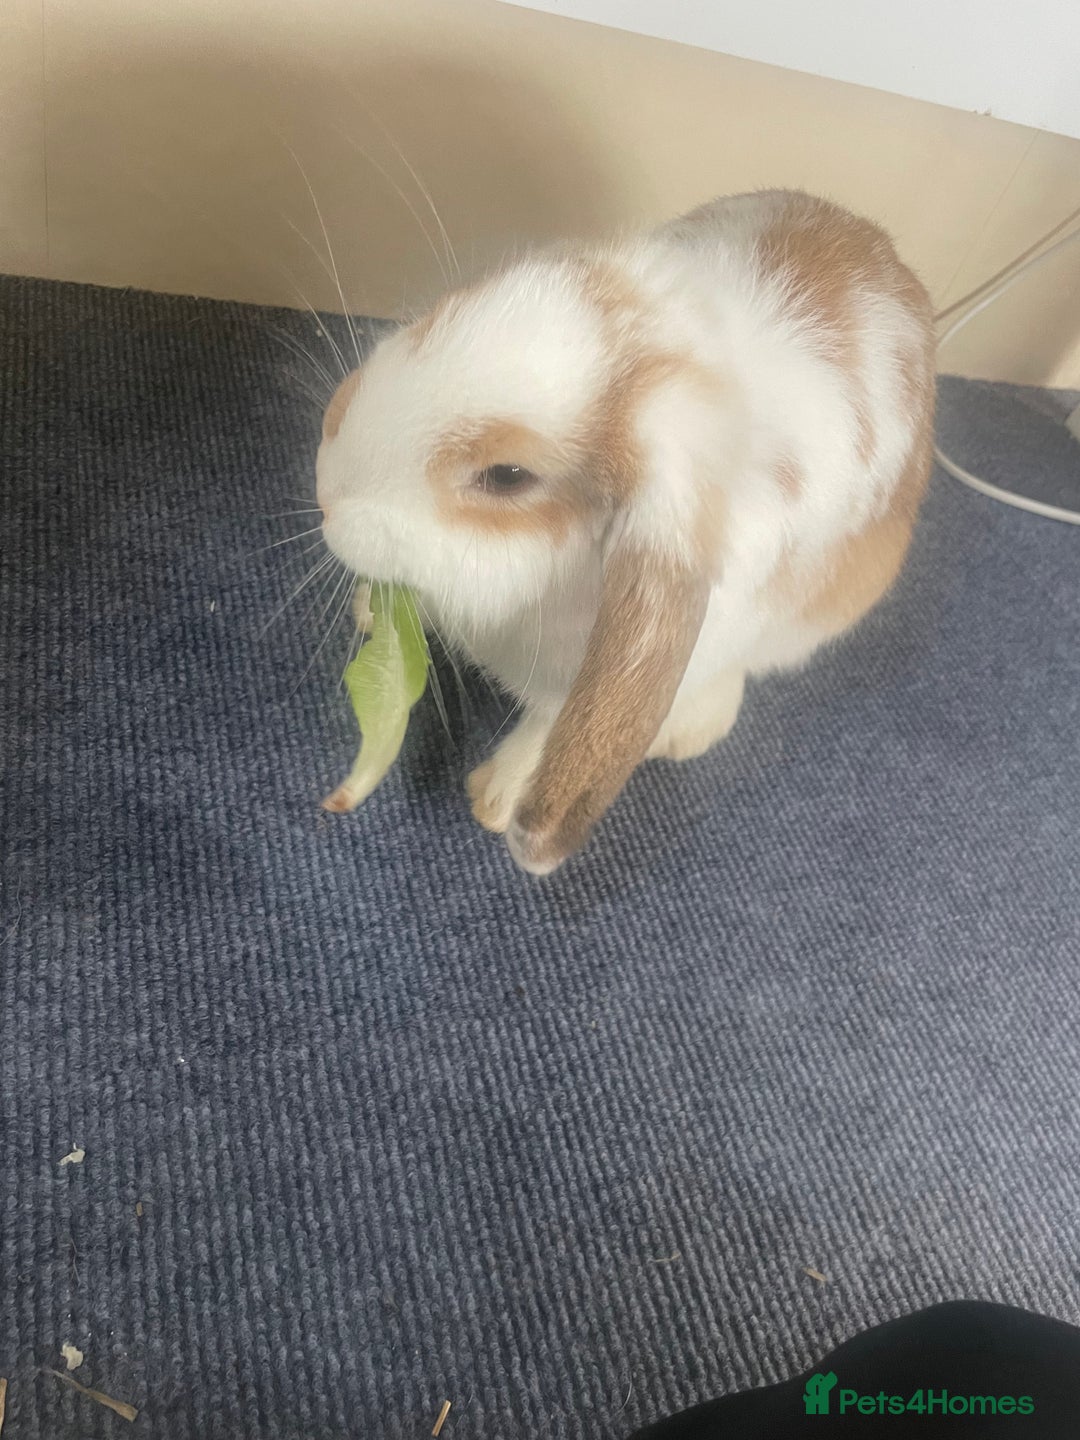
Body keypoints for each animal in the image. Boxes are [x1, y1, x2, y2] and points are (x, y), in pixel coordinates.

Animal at [315, 189, 936, 875]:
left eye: (506, 476)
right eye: (443, 311)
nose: (327, 486)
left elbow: (553, 727)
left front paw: (498, 799)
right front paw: (373, 608)